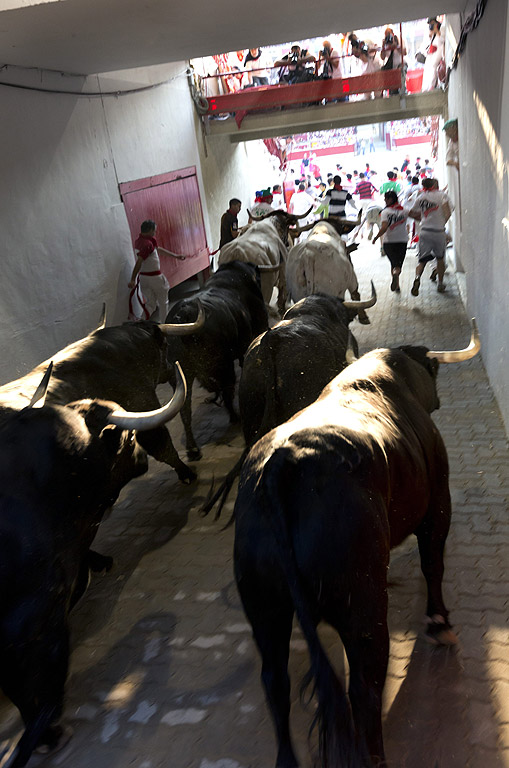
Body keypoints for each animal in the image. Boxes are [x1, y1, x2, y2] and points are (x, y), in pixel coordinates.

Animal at [234, 328, 480, 768]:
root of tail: (284, 464)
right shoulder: (439, 503)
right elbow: (433, 564)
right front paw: (439, 622)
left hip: (264, 608)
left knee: (276, 682)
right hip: (364, 609)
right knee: (365, 689)